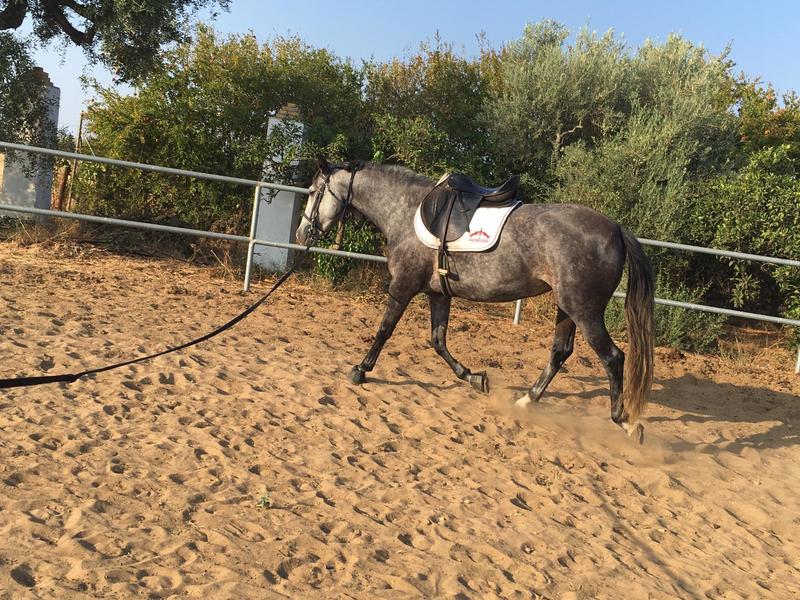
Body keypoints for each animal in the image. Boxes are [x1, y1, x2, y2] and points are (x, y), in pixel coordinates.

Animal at [296, 159, 654, 443]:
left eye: (313, 192)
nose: (301, 234)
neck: (405, 211)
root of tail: (616, 230)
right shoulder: (438, 294)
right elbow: (438, 341)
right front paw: (475, 378)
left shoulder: (403, 286)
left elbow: (384, 329)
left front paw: (360, 370)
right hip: (566, 308)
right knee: (560, 352)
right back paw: (526, 400)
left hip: (584, 310)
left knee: (613, 358)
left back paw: (626, 423)